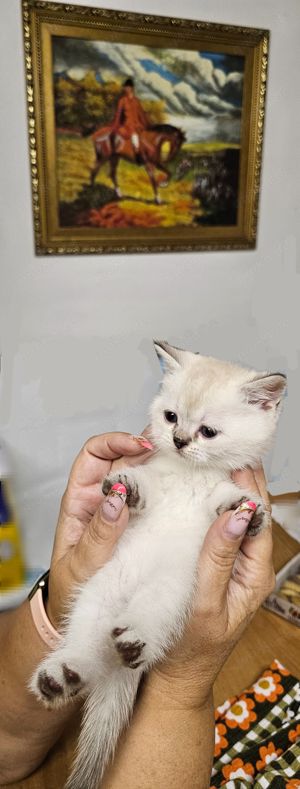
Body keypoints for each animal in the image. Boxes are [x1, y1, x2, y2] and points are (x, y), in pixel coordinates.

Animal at [29, 340, 286, 788]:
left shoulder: (210, 507)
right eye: (171, 417)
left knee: (140, 627)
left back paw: (130, 641)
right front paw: (125, 487)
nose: (179, 439)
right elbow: (145, 486)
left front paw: (247, 511)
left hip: (168, 592)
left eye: (208, 431)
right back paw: (63, 675)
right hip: (98, 592)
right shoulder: (156, 482)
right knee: (89, 646)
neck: (189, 474)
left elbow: (224, 499)